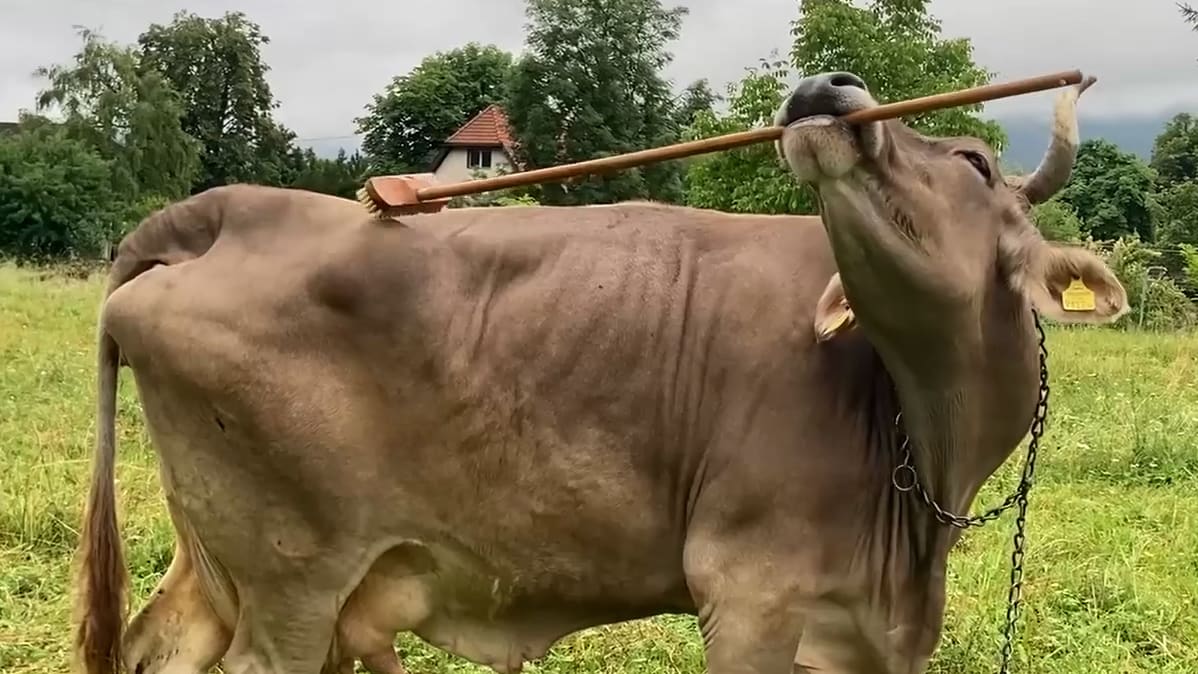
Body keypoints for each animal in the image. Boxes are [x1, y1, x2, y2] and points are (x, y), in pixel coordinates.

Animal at [72, 69, 1126, 674]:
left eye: (977, 163)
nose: (832, 85)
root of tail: (229, 208)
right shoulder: (751, 592)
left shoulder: (868, 631)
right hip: (292, 576)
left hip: (218, 561)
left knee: (153, 649)